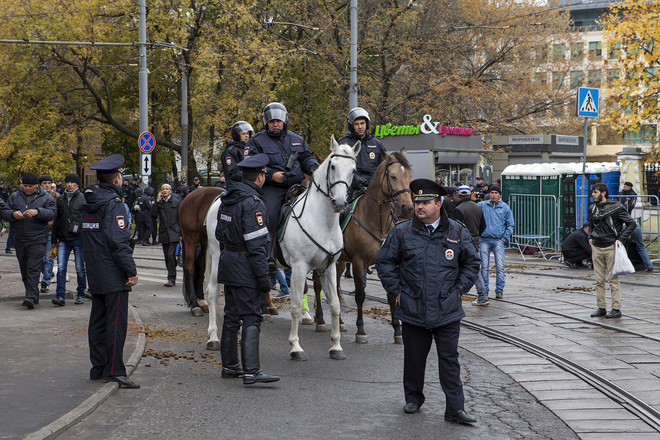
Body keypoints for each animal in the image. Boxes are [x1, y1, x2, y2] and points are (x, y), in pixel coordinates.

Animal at [311, 149, 413, 344]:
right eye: (393, 176)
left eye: (409, 176)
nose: (407, 207)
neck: (375, 220)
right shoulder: (358, 263)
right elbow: (360, 296)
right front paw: (361, 331)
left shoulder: (388, 262)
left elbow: (391, 295)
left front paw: (398, 331)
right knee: (318, 285)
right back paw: (320, 320)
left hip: (341, 262)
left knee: (335, 288)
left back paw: (340, 322)